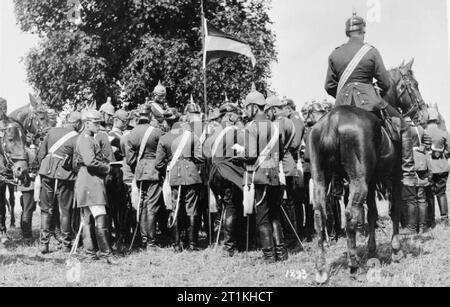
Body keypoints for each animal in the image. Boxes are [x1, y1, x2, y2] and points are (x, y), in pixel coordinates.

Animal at [312, 59, 428, 282]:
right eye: (414, 84)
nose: (424, 114)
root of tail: (332, 120)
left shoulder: (373, 181)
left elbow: (373, 213)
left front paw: (372, 250)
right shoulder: (394, 177)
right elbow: (394, 210)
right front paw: (396, 250)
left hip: (321, 180)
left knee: (320, 214)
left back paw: (321, 269)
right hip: (358, 182)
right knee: (350, 215)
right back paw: (353, 265)